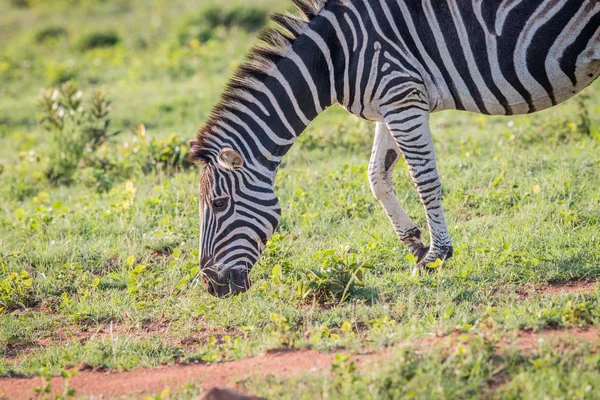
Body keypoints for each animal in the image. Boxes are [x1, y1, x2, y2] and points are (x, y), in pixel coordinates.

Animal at [190, 0, 596, 296]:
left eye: (219, 204)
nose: (211, 287)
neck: (333, 58)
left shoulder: (402, 95)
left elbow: (424, 180)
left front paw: (438, 255)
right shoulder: (390, 103)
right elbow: (377, 177)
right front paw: (416, 244)